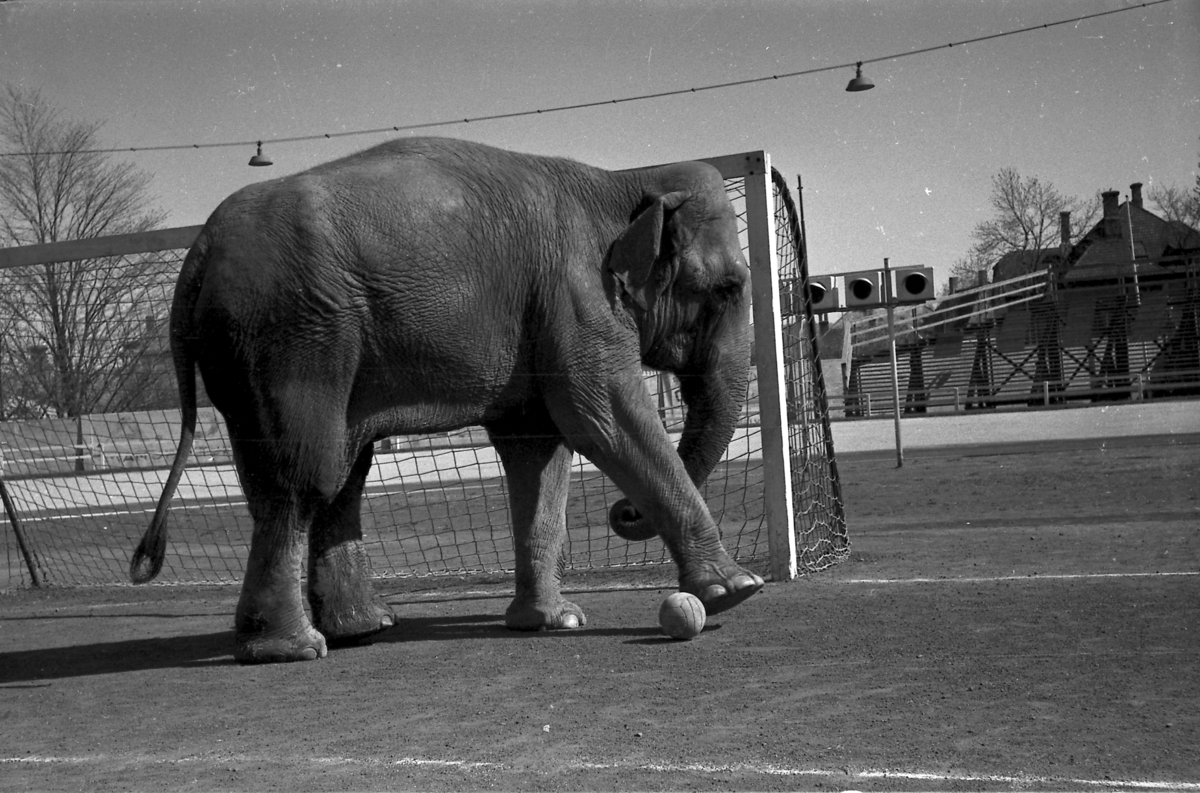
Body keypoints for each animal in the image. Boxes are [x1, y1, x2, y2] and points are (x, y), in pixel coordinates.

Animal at [131, 136, 763, 662]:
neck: (625, 181)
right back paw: (294, 650)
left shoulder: (548, 310)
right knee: (305, 476)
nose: (621, 513)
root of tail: (200, 248)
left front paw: (555, 622)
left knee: (342, 474)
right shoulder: (577, 297)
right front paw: (736, 590)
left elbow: (538, 449)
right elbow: (604, 418)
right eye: (728, 287)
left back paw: (362, 630)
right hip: (287, 340)